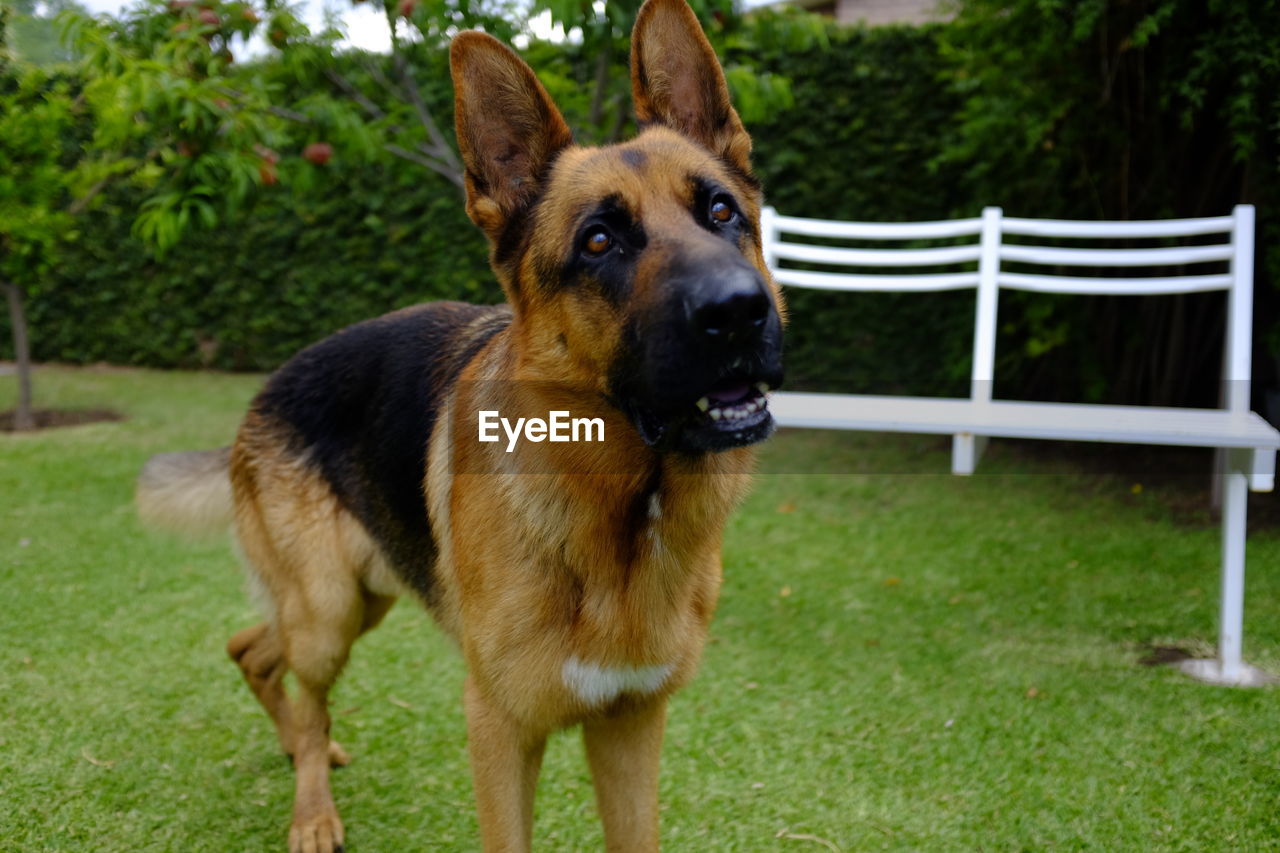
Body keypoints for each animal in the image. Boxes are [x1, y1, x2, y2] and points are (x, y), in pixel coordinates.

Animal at [137, 1, 778, 850]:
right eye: (599, 241)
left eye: (720, 211)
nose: (739, 311)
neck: (625, 511)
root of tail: (265, 389)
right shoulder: (500, 729)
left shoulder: (631, 726)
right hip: (328, 610)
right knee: (290, 668)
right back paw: (311, 803)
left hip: (361, 595)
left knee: (253, 649)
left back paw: (300, 746)